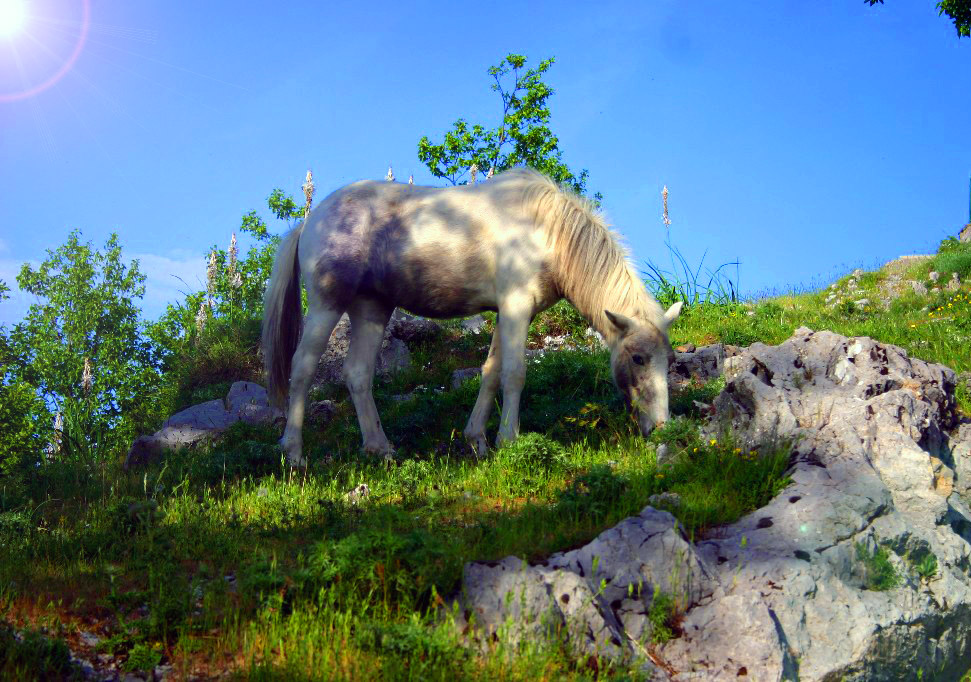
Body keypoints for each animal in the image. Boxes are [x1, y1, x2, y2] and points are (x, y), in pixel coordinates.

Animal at [262, 168, 682, 467]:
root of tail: (310, 221)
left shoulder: (508, 313)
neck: (547, 232)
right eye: (638, 358)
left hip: (371, 310)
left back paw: (381, 449)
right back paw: (294, 453)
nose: (661, 427)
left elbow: (491, 373)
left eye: (669, 361)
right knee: (302, 369)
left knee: (358, 375)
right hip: (326, 305)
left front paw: (477, 439)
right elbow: (514, 373)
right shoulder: (515, 308)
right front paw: (508, 440)